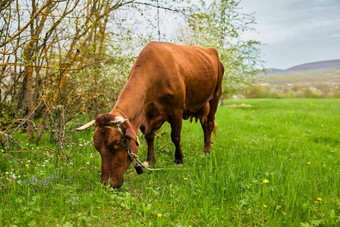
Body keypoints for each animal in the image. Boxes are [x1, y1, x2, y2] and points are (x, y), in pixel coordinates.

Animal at [78, 41, 224, 187]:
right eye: (97, 147)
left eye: (118, 143)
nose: (106, 184)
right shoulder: (146, 115)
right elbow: (149, 137)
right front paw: (151, 160)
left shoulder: (176, 111)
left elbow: (175, 137)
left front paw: (179, 160)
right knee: (205, 125)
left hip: (215, 97)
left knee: (209, 124)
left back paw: (206, 151)